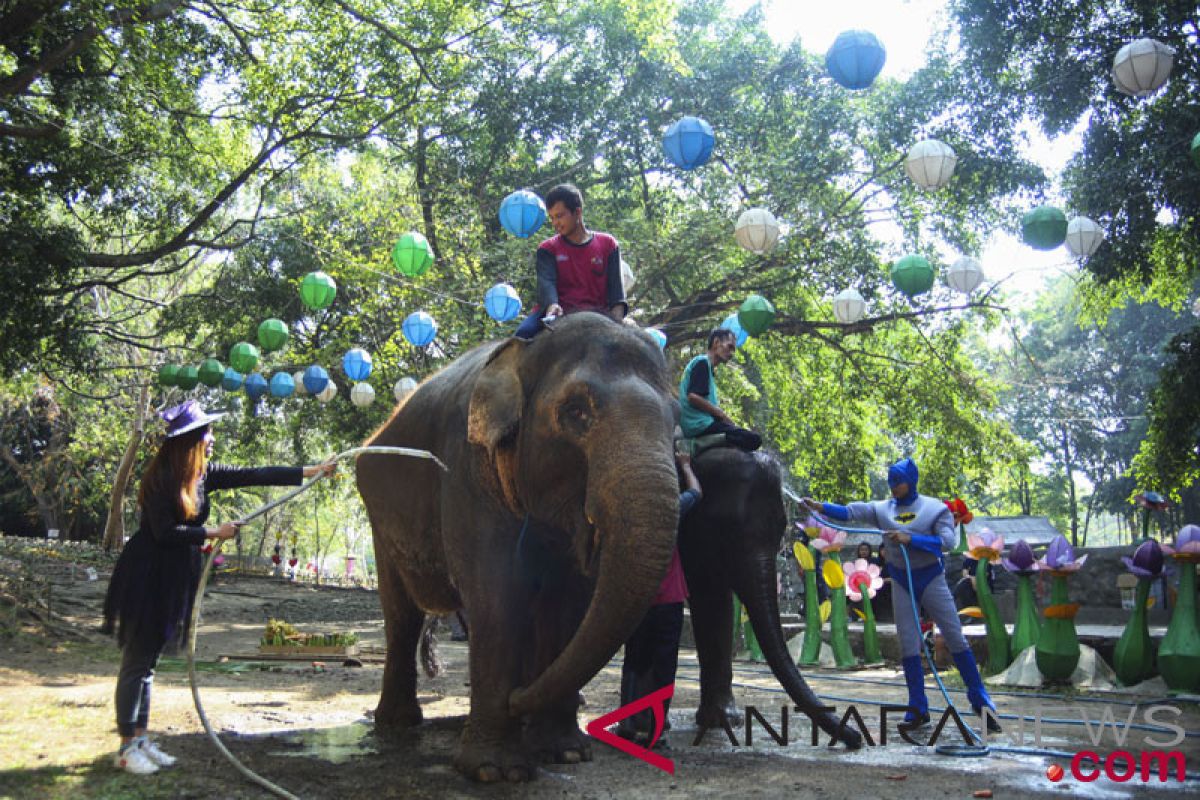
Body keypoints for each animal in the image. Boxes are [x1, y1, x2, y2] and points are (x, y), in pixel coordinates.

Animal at [352, 314, 686, 782]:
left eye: (676, 424)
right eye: (576, 412)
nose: (516, 698)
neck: (527, 352)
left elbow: (568, 601)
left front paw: (565, 752)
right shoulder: (466, 469)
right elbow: (497, 593)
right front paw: (495, 770)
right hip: (379, 520)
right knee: (401, 613)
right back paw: (398, 723)